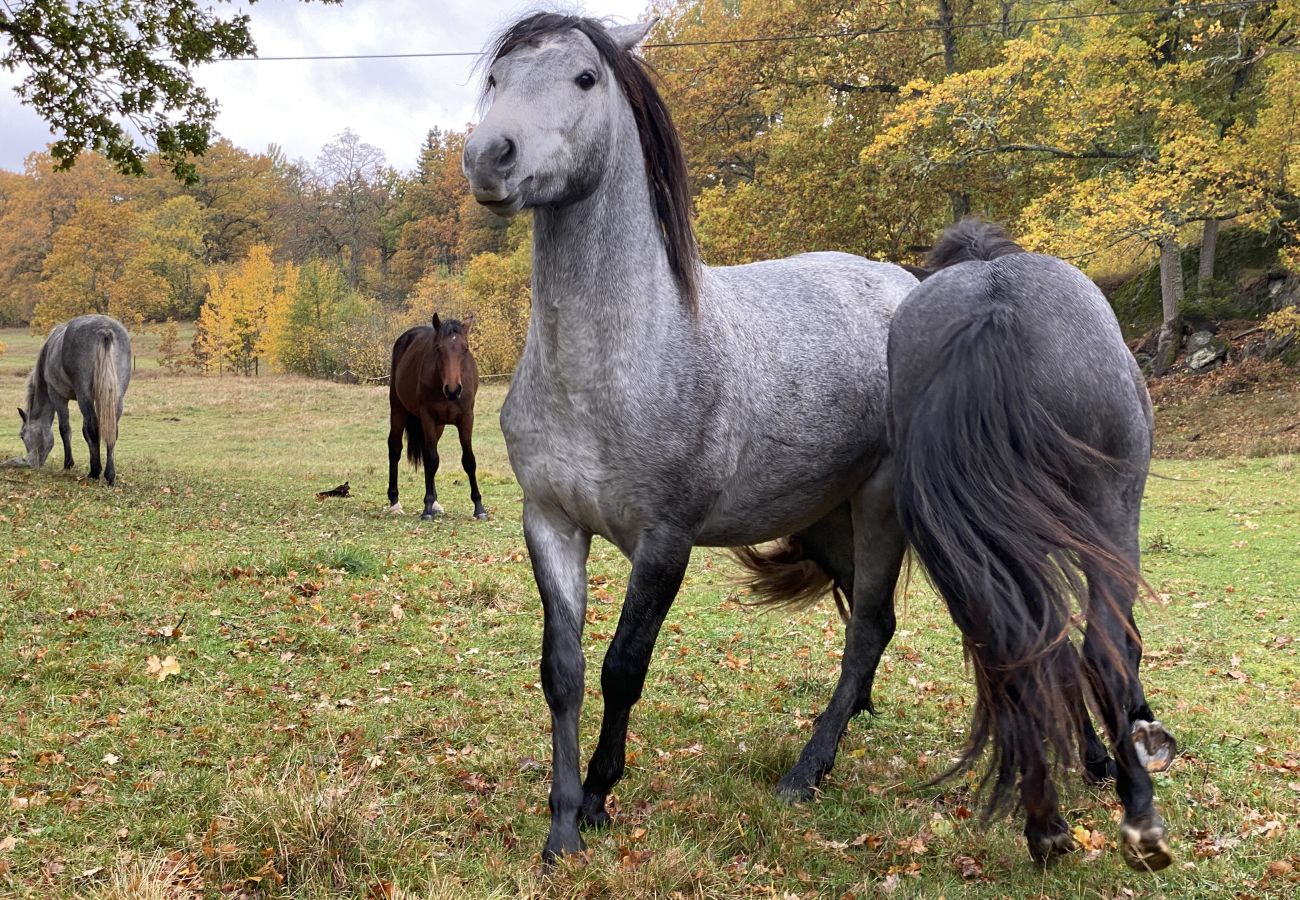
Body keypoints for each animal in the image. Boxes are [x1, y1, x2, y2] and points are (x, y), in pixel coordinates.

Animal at [15, 314, 131, 486]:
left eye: (22, 435)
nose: (31, 463)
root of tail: (104, 329)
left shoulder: (57, 396)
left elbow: (65, 429)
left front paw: (68, 464)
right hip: (116, 397)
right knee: (111, 430)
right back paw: (110, 475)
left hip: (84, 395)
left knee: (93, 428)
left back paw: (95, 472)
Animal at [387, 313, 488, 520]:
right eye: (439, 349)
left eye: (465, 348)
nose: (453, 390)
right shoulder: (428, 417)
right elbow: (432, 460)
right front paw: (426, 507)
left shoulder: (466, 418)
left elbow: (469, 460)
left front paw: (479, 507)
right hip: (398, 409)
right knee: (395, 448)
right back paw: (395, 502)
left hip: (438, 426)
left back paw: (435, 502)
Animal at [462, 14, 920, 863]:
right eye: (496, 80)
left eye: (584, 78)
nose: (488, 157)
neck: (622, 356)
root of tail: (905, 284)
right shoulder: (551, 523)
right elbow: (564, 670)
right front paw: (561, 827)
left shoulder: (665, 542)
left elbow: (623, 668)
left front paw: (600, 798)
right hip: (824, 519)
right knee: (868, 625)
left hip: (881, 507)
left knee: (874, 625)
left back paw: (806, 772)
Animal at [894, 219, 1180, 873]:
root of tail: (996, 309)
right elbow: (1115, 646)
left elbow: (1052, 652)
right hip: (1111, 516)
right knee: (1104, 649)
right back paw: (1138, 814)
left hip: (970, 568)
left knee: (1017, 659)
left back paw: (1046, 825)